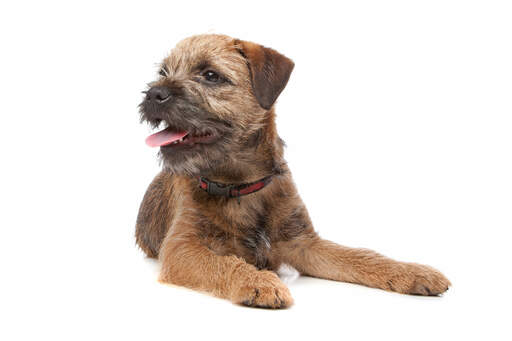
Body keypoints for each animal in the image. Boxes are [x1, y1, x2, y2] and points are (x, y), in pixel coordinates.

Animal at [135, 33, 448, 306]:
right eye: (163, 72)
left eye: (211, 75)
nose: (153, 93)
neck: (240, 185)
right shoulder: (182, 248)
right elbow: (222, 262)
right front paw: (259, 281)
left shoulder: (304, 243)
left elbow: (358, 256)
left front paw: (411, 271)